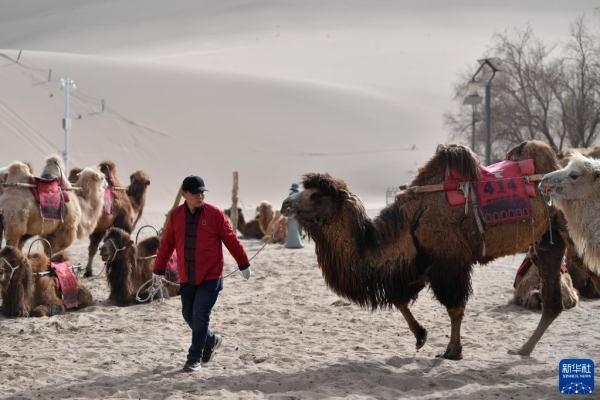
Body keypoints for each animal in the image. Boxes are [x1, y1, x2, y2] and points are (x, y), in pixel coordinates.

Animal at [282, 140, 568, 360]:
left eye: (316, 196)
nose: (286, 204)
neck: (411, 221)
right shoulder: (421, 262)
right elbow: (399, 298)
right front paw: (421, 336)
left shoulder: (449, 263)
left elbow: (454, 307)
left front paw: (452, 351)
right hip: (546, 241)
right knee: (553, 301)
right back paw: (523, 349)